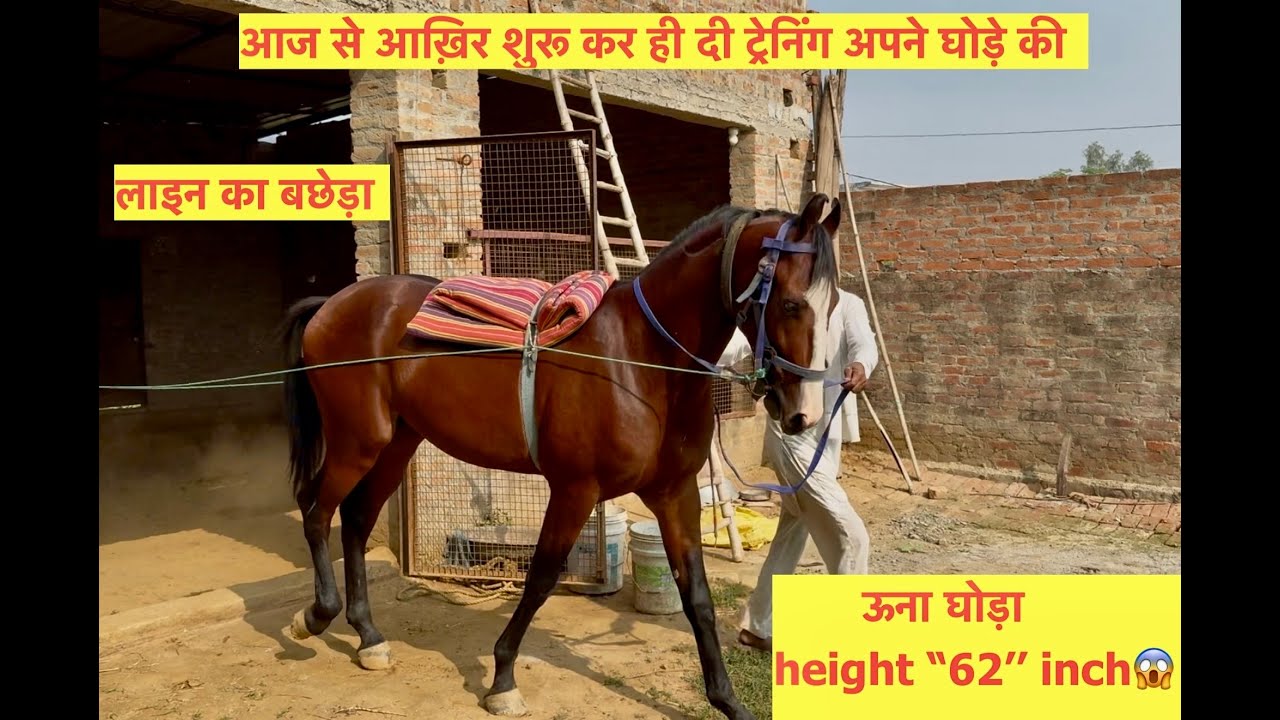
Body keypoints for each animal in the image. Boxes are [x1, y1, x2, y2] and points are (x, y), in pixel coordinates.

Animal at [277, 192, 844, 720]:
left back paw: (368, 636)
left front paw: (727, 700)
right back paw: (316, 616)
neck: (639, 359)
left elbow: (697, 596)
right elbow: (543, 576)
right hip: (357, 443)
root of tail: (331, 305)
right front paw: (503, 677)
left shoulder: (674, 494)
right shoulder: (576, 490)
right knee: (316, 512)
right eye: (791, 303)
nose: (804, 414)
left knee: (354, 521)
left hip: (396, 445)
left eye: (835, 304)